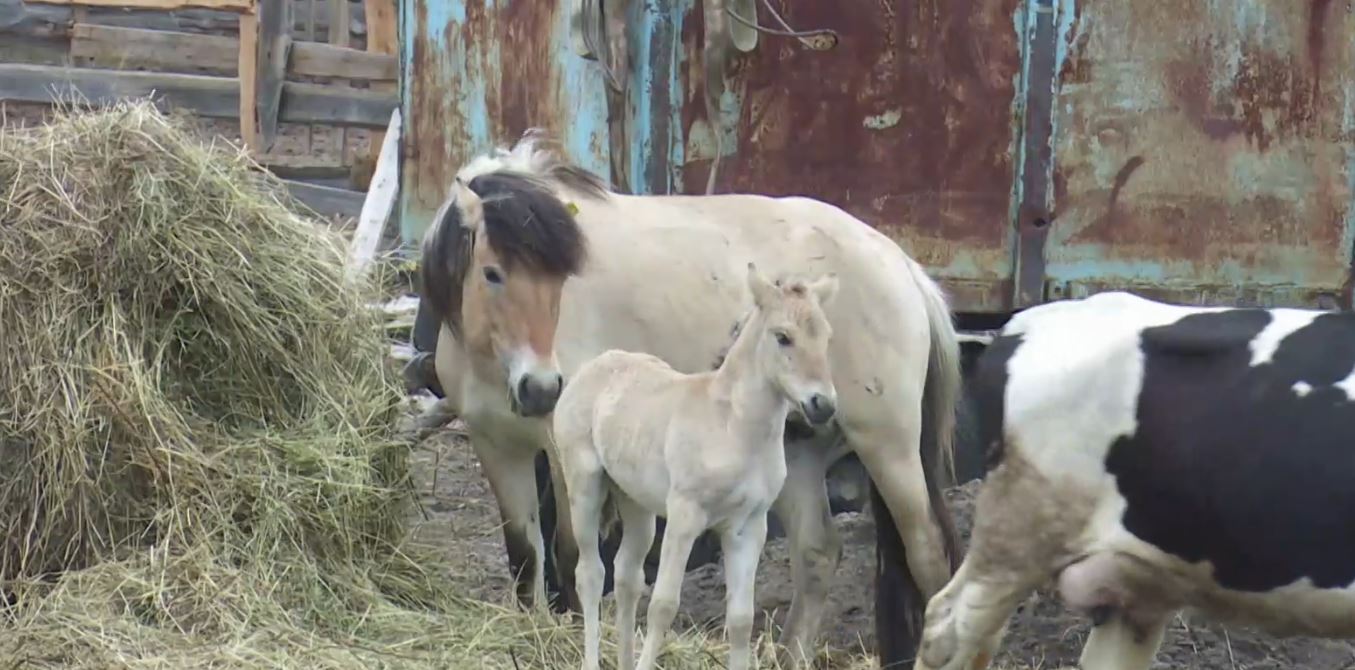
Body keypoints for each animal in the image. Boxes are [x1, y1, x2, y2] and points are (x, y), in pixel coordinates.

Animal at [550, 263, 834, 670]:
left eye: (826, 336)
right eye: (783, 337)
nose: (822, 405)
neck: (734, 428)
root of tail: (597, 364)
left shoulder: (749, 526)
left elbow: (741, 618)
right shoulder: (686, 515)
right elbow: (663, 606)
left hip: (636, 502)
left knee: (626, 576)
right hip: (585, 485)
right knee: (590, 574)